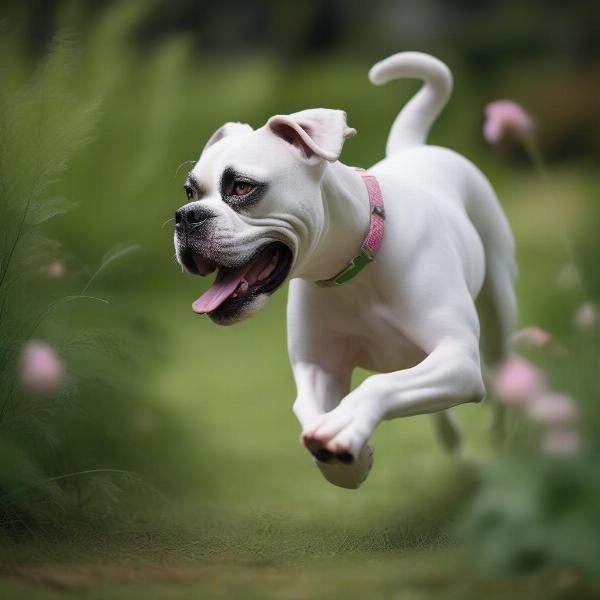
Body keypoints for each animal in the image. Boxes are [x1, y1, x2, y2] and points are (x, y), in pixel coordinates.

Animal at [173, 54, 516, 490]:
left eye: (242, 187)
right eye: (190, 192)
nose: (186, 217)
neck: (354, 264)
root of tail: (414, 148)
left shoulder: (458, 357)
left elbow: (376, 385)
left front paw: (345, 428)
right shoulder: (319, 369)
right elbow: (308, 410)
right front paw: (346, 461)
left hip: (497, 319)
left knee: (503, 381)